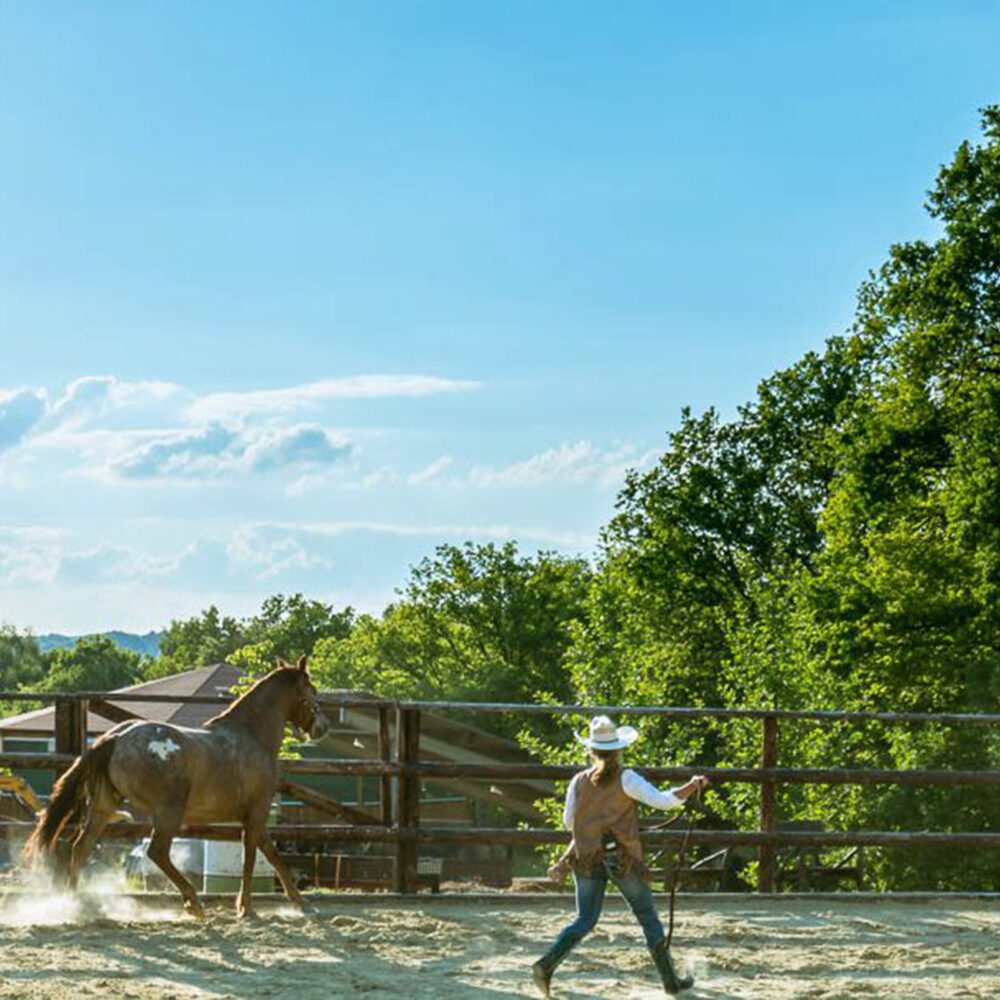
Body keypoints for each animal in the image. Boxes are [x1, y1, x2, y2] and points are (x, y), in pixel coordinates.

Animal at [23, 652, 330, 916]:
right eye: (312, 690)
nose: (322, 727)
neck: (251, 735)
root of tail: (116, 737)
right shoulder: (257, 811)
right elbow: (253, 857)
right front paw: (247, 908)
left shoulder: (252, 815)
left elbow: (271, 854)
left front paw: (299, 902)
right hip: (168, 810)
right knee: (157, 851)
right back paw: (193, 901)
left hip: (103, 806)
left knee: (81, 847)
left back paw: (73, 904)